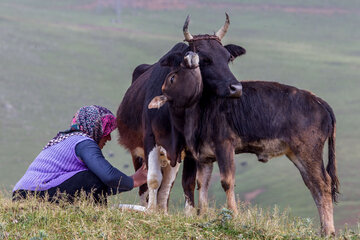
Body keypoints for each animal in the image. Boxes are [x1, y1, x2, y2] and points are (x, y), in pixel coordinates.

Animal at [116, 13, 246, 212]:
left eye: (228, 58)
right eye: (204, 59)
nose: (236, 88)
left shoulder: (190, 148)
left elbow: (187, 183)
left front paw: (189, 213)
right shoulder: (149, 140)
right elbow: (153, 179)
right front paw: (151, 212)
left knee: (166, 186)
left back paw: (163, 210)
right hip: (137, 152)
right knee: (145, 187)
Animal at [148, 61, 338, 236]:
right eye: (172, 78)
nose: (190, 59)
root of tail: (318, 101)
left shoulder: (225, 146)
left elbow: (227, 181)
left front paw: (233, 215)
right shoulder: (204, 156)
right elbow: (202, 184)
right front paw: (202, 215)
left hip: (308, 152)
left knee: (323, 184)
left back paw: (329, 231)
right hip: (298, 155)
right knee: (313, 185)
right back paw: (323, 231)